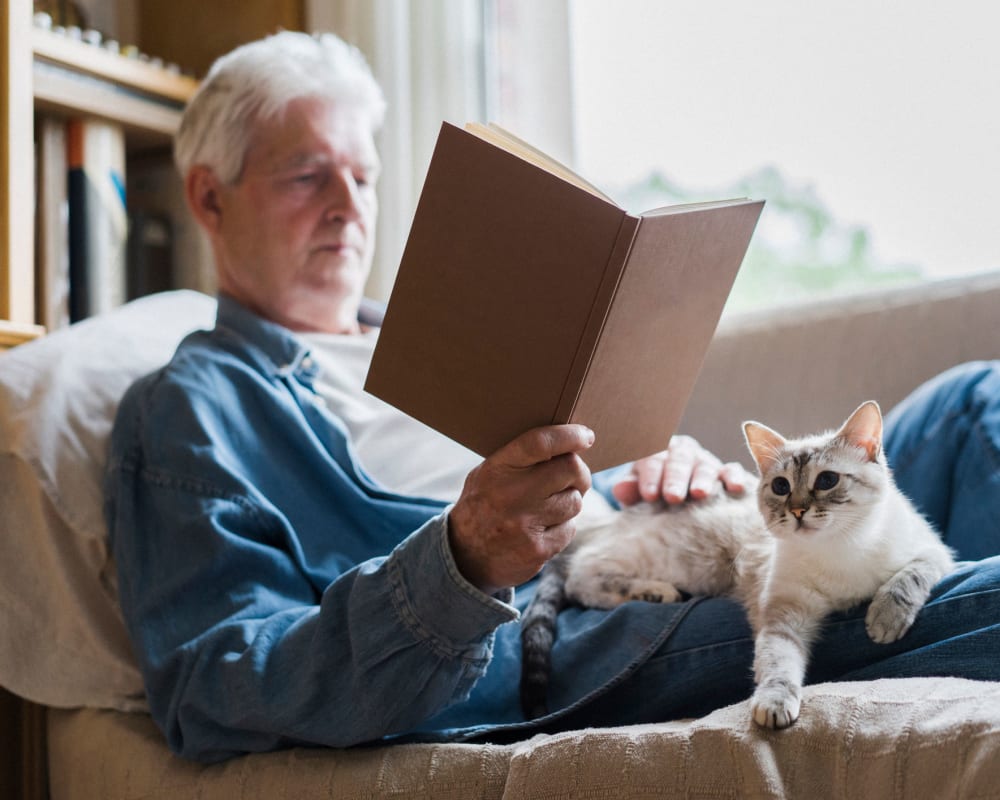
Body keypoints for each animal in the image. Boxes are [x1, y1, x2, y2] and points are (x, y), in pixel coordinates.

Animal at [520, 404, 956, 728]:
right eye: (781, 486)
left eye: (827, 481)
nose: (798, 511)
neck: (839, 550)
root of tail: (608, 519)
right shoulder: (783, 614)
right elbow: (778, 664)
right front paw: (775, 704)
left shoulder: (936, 552)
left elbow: (909, 576)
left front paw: (885, 618)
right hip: (667, 560)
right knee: (582, 576)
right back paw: (655, 591)